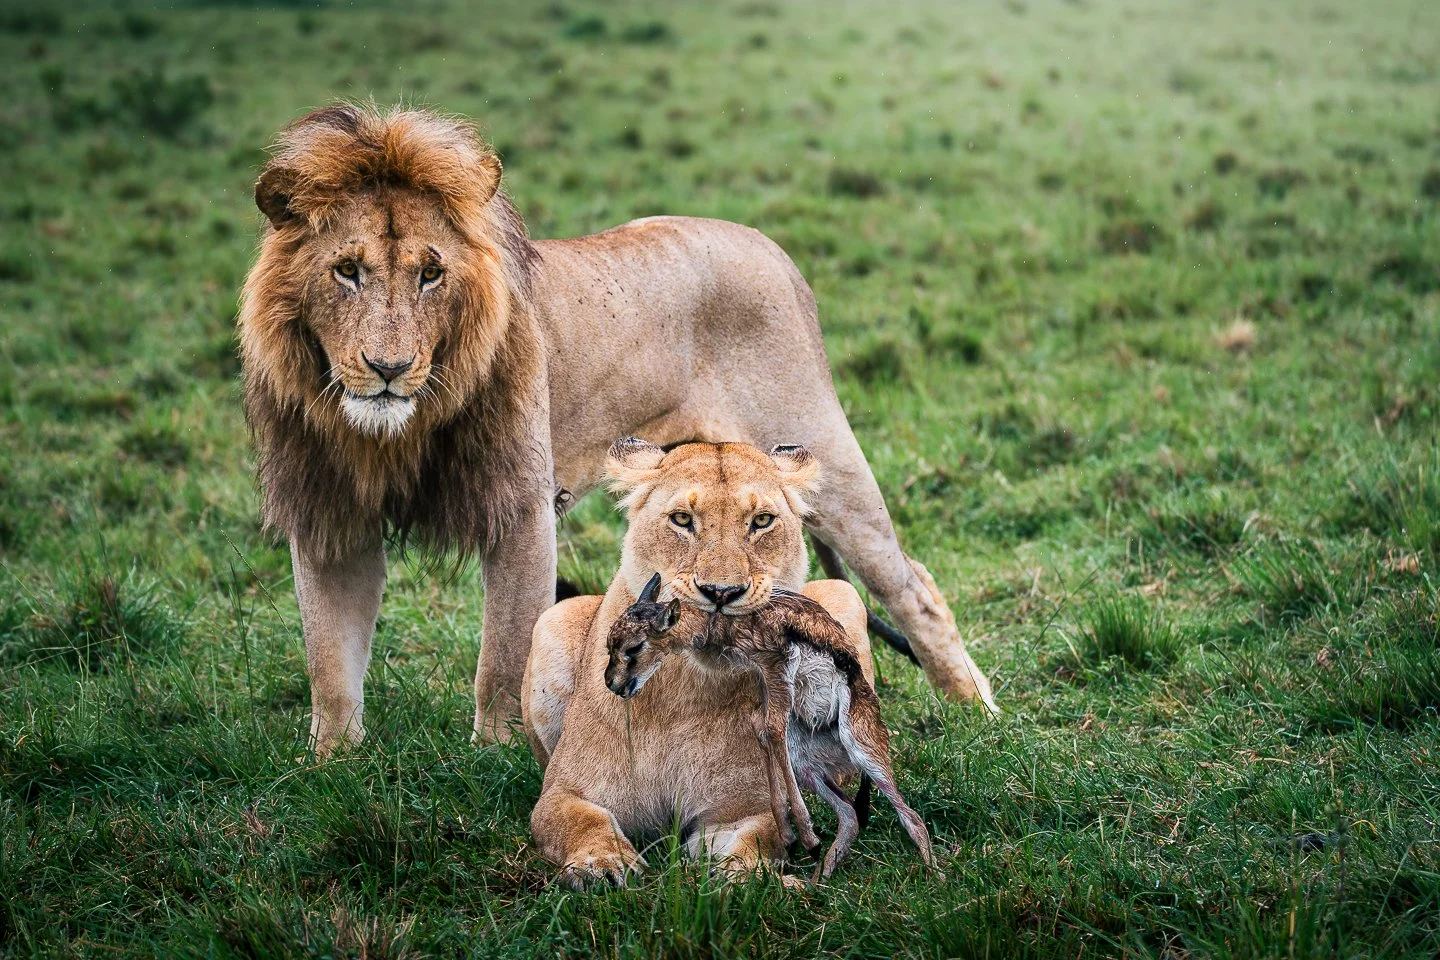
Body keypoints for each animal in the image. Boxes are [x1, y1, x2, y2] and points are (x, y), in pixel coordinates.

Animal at [238, 102, 995, 756]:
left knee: (915, 586)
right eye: (346, 270)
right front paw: (331, 763)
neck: (395, 432)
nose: (389, 369)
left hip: (821, 453)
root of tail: (770, 248)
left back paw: (975, 711)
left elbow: (505, 654)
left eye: (431, 273)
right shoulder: (331, 517)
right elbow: (330, 660)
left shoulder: (521, 508)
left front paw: (498, 756)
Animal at [523, 440, 878, 886]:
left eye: (762, 521)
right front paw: (600, 865)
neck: (682, 692)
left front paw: (750, 879)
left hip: (843, 594)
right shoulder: (563, 792)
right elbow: (578, 821)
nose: (721, 592)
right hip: (552, 619)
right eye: (682, 519)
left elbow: (754, 841)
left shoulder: (745, 810)